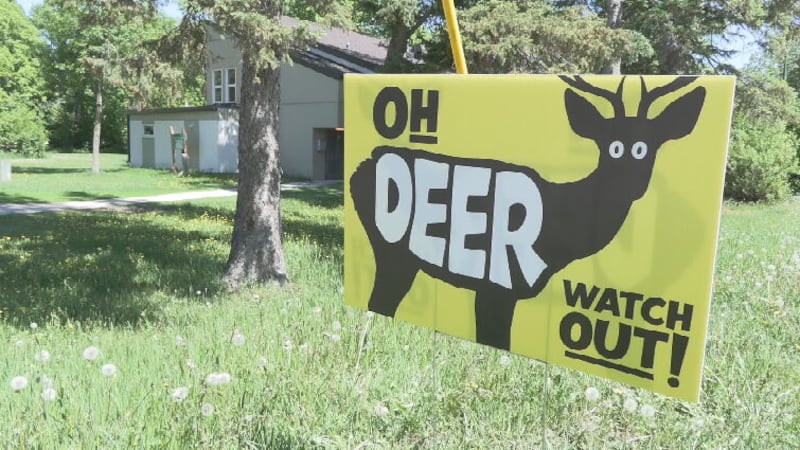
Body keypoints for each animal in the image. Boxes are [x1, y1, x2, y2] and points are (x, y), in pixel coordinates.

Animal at [349, 76, 707, 351]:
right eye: (614, 147)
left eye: (645, 147)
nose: (630, 186)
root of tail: (359, 169)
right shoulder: (498, 286)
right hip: (393, 254)